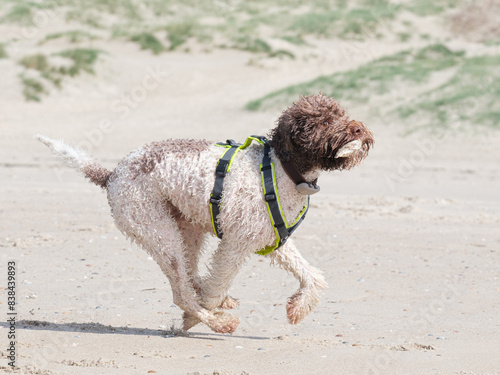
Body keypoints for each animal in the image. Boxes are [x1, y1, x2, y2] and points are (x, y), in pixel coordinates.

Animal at [35, 94, 374, 334]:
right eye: (323, 122)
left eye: (341, 114)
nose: (359, 129)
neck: (281, 169)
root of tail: (111, 174)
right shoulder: (236, 245)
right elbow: (211, 291)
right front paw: (193, 321)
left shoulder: (272, 238)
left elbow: (312, 276)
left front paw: (299, 306)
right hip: (159, 233)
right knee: (182, 292)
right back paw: (217, 321)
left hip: (188, 229)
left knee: (191, 275)